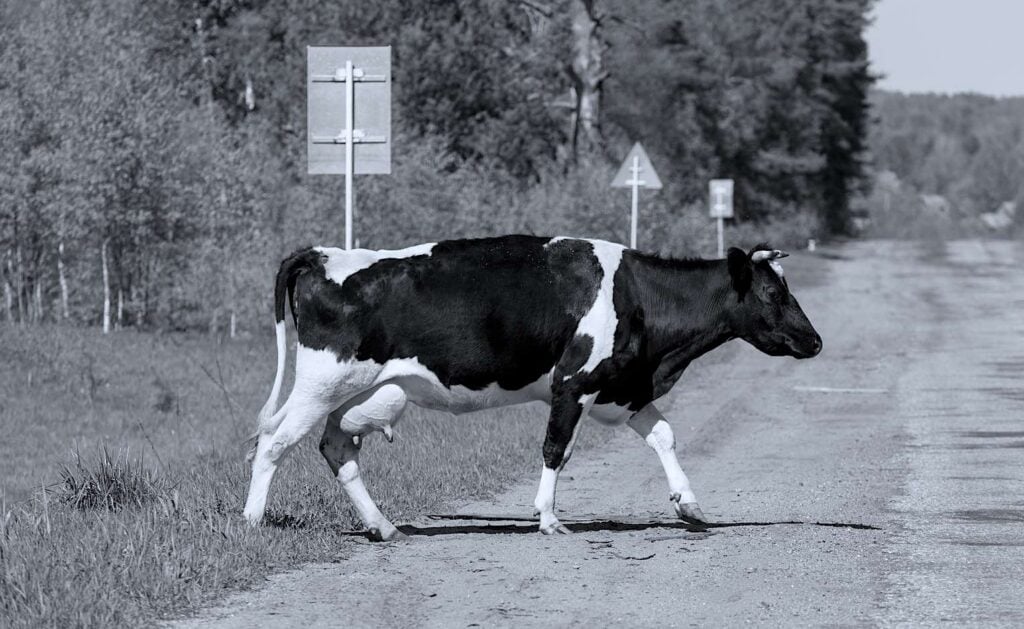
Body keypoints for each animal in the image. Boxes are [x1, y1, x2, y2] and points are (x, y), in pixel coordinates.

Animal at [243, 235, 821, 540]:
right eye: (773, 293)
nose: (815, 341)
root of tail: (325, 254)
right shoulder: (574, 384)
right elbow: (555, 449)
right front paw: (547, 518)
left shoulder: (624, 389)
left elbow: (665, 435)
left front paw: (689, 505)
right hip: (321, 381)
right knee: (273, 440)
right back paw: (252, 520)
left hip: (367, 391)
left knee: (335, 446)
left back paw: (383, 526)